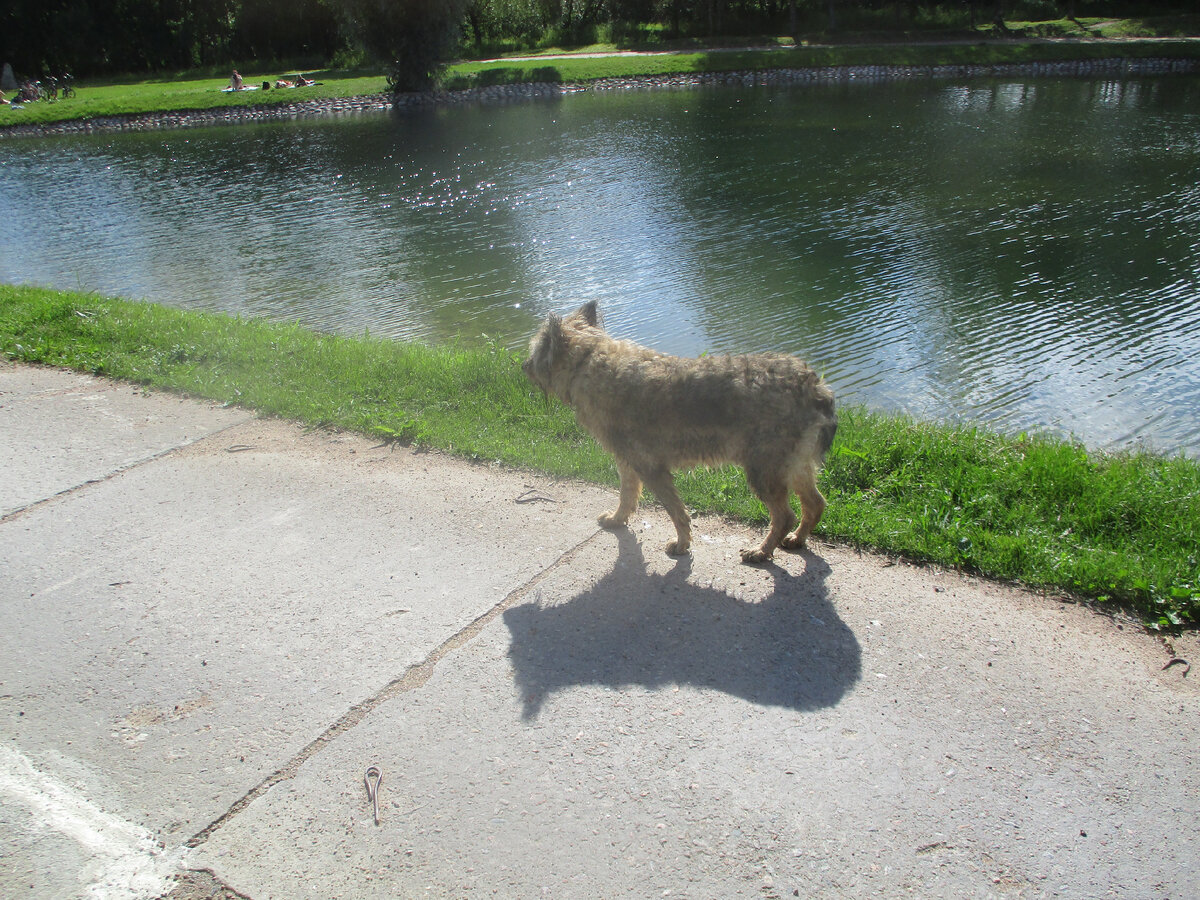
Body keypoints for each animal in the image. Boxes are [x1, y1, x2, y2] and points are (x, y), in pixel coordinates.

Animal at [525, 301, 835, 564]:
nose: (524, 366)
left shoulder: (650, 467)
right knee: (815, 503)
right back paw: (797, 538)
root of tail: (815, 387)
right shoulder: (627, 461)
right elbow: (627, 495)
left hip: (764, 469)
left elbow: (675, 511)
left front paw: (682, 543)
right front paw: (617, 518)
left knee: (784, 515)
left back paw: (761, 550)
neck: (589, 361)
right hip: (794, 464)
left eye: (535, 350)